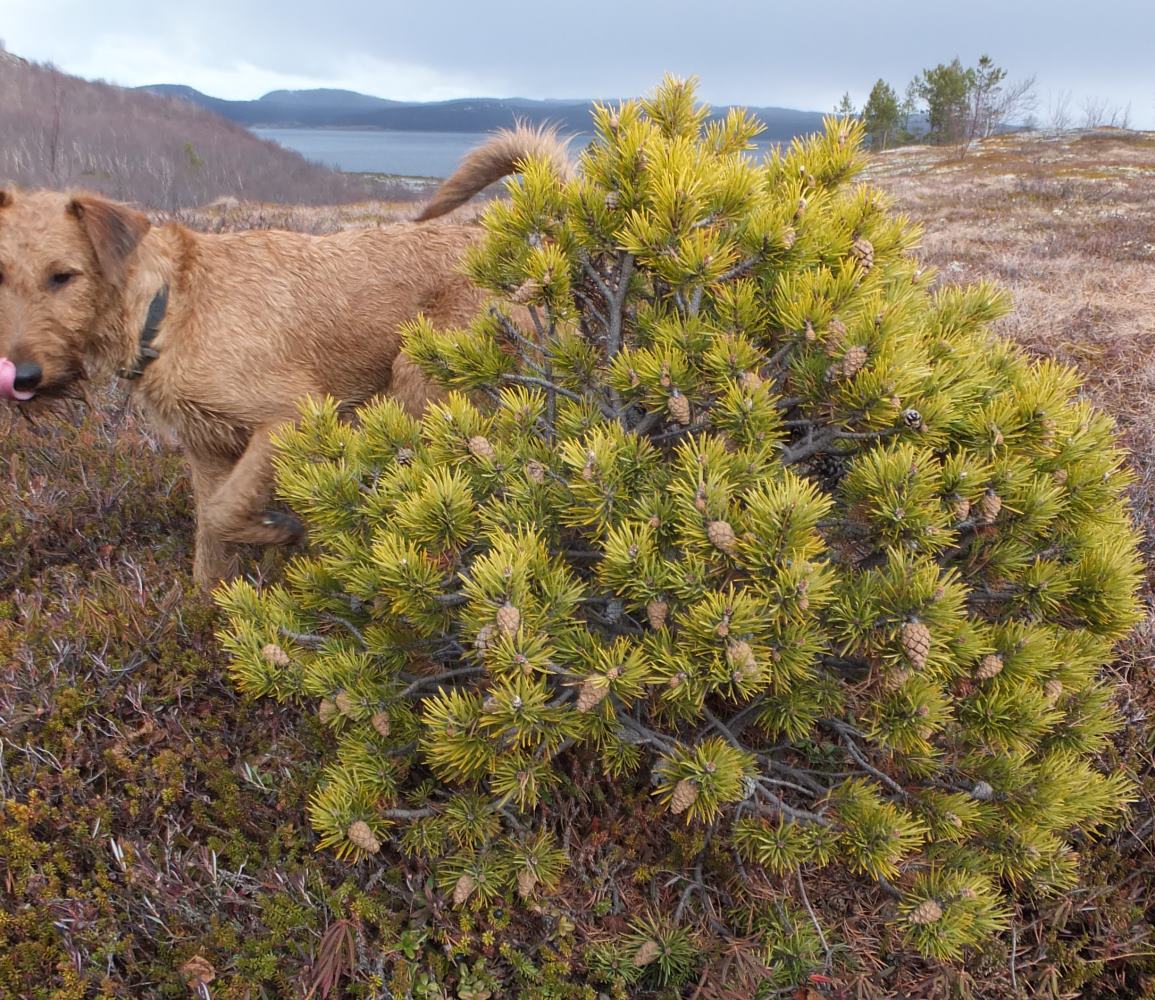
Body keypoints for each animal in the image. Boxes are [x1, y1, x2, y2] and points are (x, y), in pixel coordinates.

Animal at [0, 122, 568, 584]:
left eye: (63, 276)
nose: (20, 375)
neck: (166, 308)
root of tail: (521, 249)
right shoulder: (208, 451)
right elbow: (210, 541)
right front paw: (211, 613)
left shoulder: (290, 416)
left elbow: (224, 514)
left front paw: (282, 531)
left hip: (419, 377)